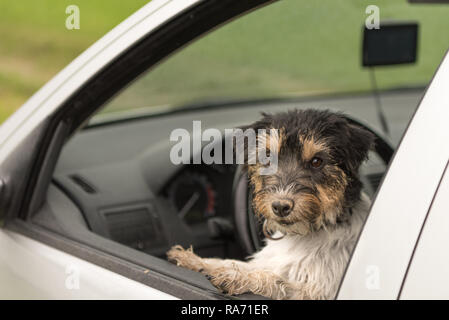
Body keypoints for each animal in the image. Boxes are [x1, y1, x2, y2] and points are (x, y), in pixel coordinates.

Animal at [166, 109, 372, 298]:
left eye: (316, 161)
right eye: (267, 159)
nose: (280, 207)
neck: (304, 235)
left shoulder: (319, 291)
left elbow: (276, 280)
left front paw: (237, 278)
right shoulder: (266, 261)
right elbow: (232, 262)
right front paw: (195, 261)